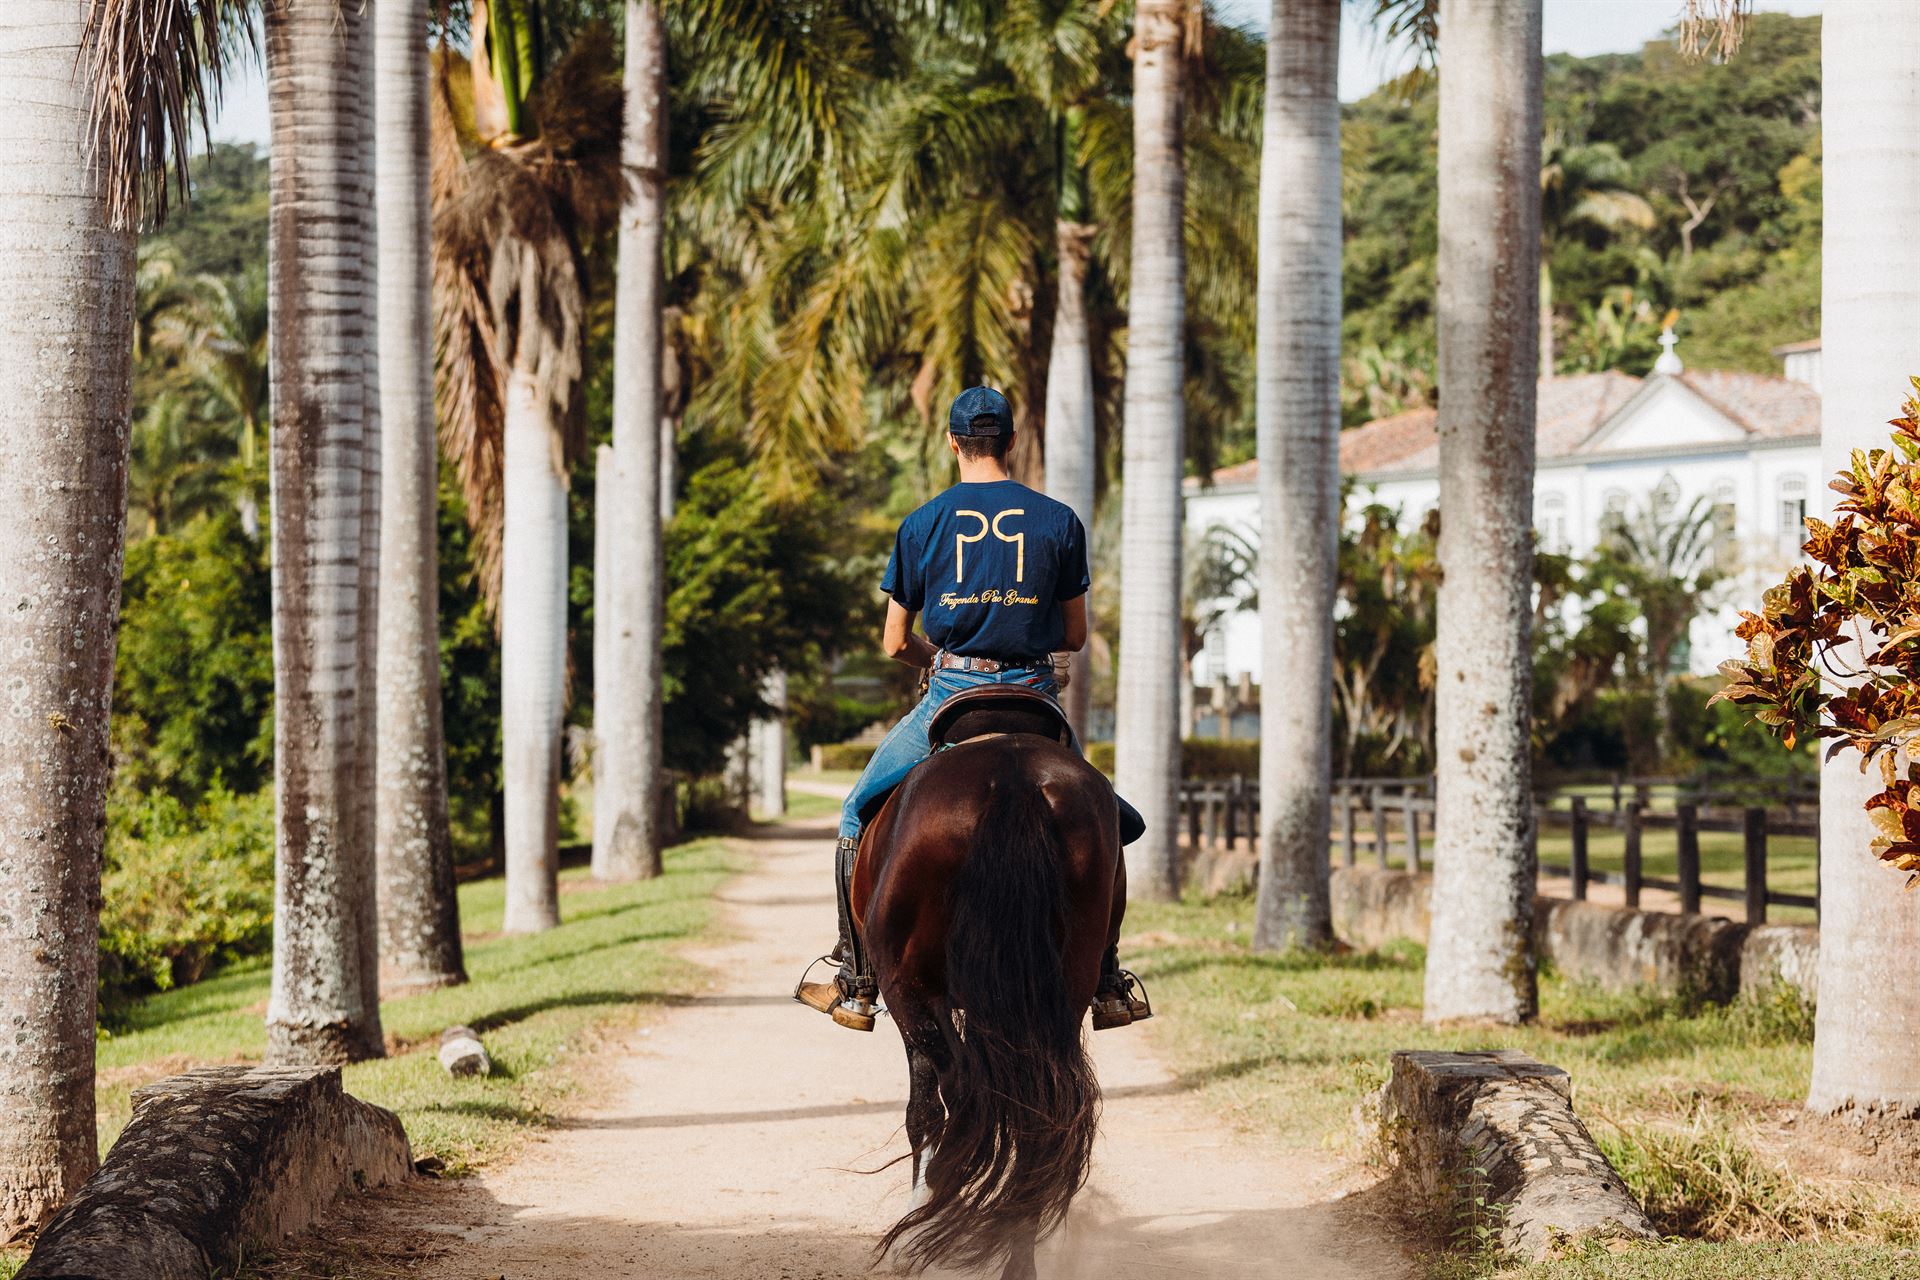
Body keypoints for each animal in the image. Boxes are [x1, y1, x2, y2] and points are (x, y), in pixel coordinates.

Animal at [852, 702, 1121, 1280]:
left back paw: (928, 1224)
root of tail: (1014, 779)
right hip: (1059, 990)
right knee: (1037, 1113)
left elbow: (924, 1112)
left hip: (909, 987)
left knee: (962, 1098)